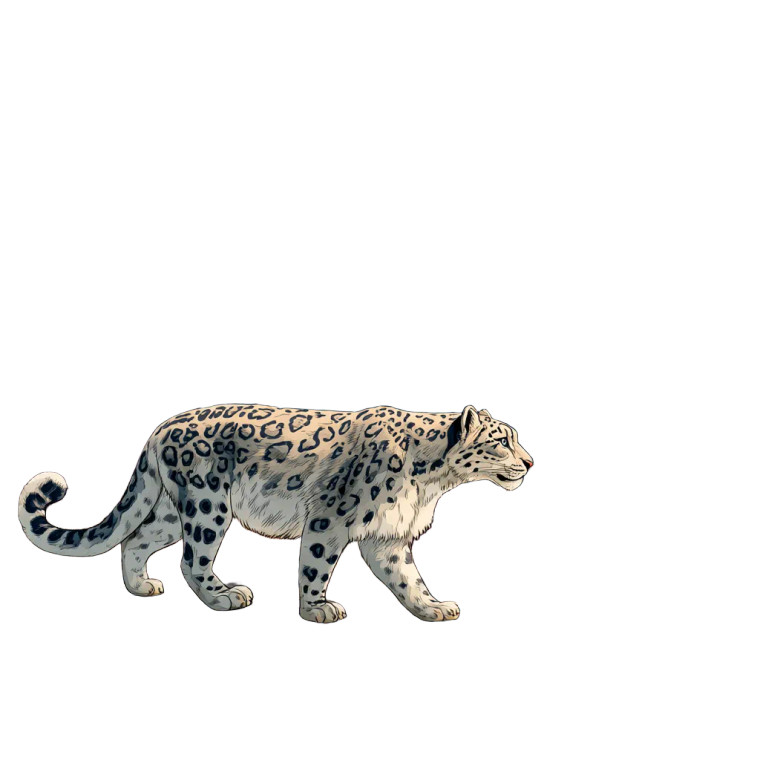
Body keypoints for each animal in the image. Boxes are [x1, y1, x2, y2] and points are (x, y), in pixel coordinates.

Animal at [19, 403, 533, 622]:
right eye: (501, 441)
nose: (530, 462)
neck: (430, 484)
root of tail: (160, 428)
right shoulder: (330, 519)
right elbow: (315, 566)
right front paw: (317, 609)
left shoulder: (388, 536)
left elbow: (408, 578)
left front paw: (433, 607)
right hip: (207, 506)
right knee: (192, 559)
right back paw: (226, 596)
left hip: (169, 509)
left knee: (134, 538)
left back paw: (142, 587)